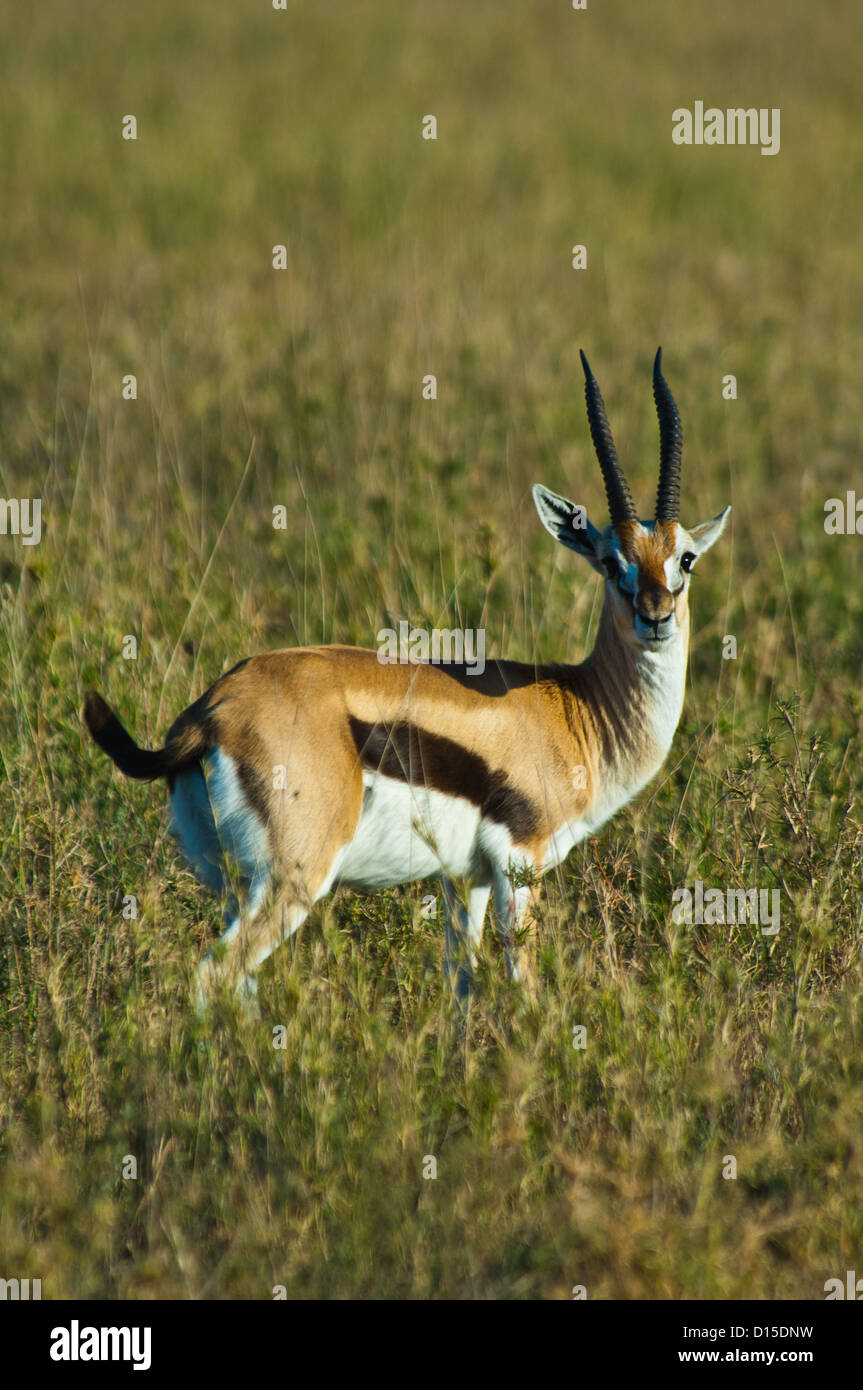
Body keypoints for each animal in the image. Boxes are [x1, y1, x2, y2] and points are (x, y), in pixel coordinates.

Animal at [83, 349, 729, 1012]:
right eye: (609, 561)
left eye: (685, 558)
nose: (656, 616)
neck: (575, 708)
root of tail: (208, 715)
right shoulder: (518, 867)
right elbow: (523, 983)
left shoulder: (465, 879)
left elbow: (461, 986)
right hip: (293, 879)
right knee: (214, 976)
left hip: (231, 883)